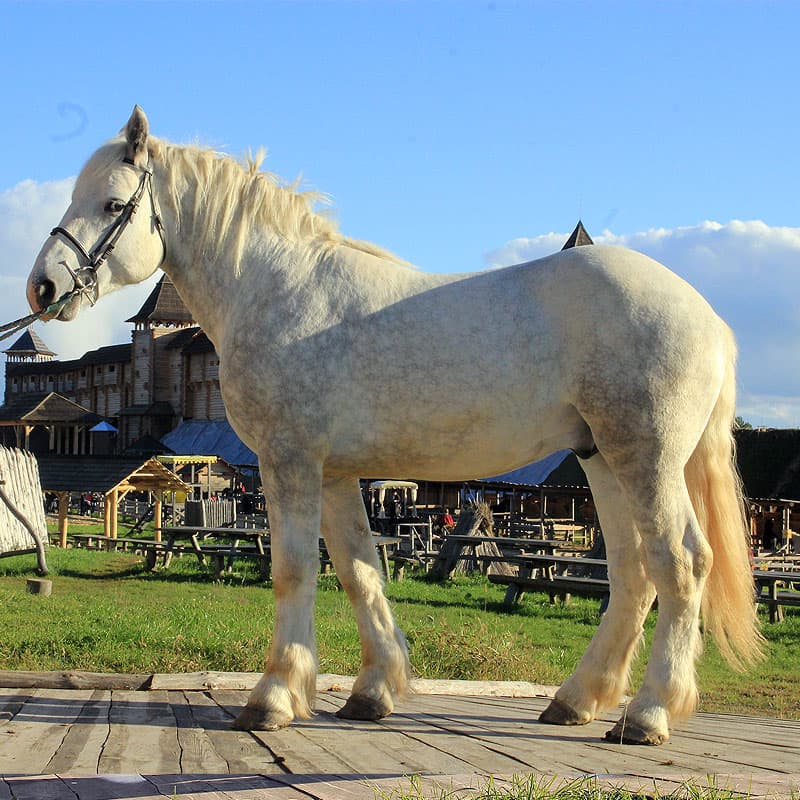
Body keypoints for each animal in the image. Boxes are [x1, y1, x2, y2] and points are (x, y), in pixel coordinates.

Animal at [25, 106, 764, 744]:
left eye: (112, 205)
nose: (42, 288)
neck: (278, 290)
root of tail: (708, 316)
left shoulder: (290, 461)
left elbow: (293, 570)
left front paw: (272, 699)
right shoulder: (334, 474)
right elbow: (360, 571)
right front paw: (372, 691)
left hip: (647, 459)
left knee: (681, 564)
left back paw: (649, 713)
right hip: (601, 459)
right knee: (634, 575)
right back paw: (578, 700)